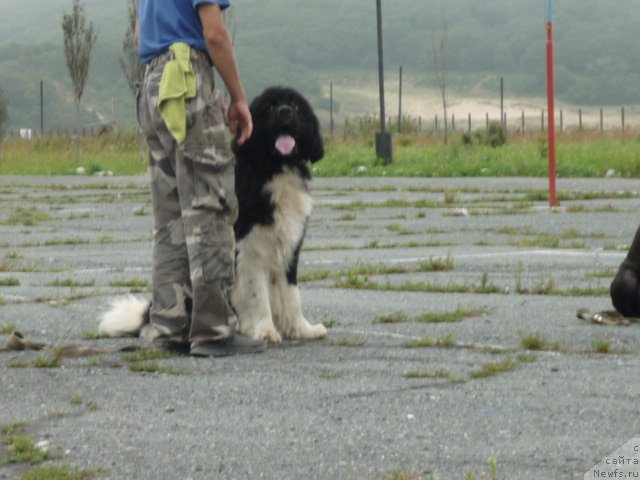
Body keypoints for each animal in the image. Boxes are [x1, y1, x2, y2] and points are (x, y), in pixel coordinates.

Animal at [101, 84, 330, 344]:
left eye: (295, 106)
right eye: (270, 106)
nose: (285, 112)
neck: (275, 169)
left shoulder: (289, 248)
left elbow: (292, 295)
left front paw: (302, 329)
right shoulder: (248, 250)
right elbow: (257, 295)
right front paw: (264, 330)